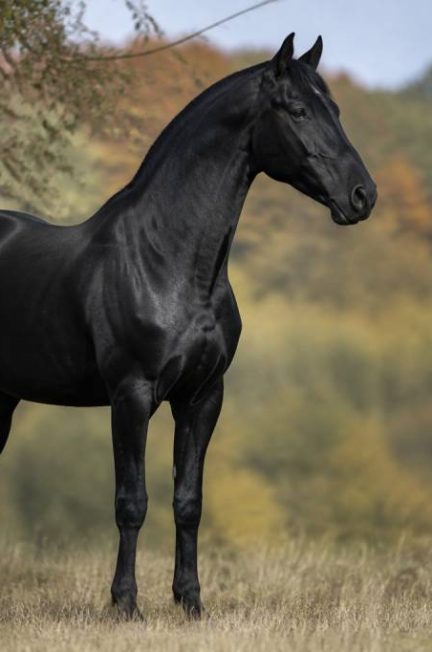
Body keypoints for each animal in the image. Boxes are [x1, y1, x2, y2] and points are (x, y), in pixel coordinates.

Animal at [0, 33, 377, 619]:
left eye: (334, 110)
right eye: (296, 110)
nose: (363, 195)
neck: (169, 261)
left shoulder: (202, 396)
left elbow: (189, 501)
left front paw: (190, 603)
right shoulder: (132, 395)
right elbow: (131, 502)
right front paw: (125, 606)